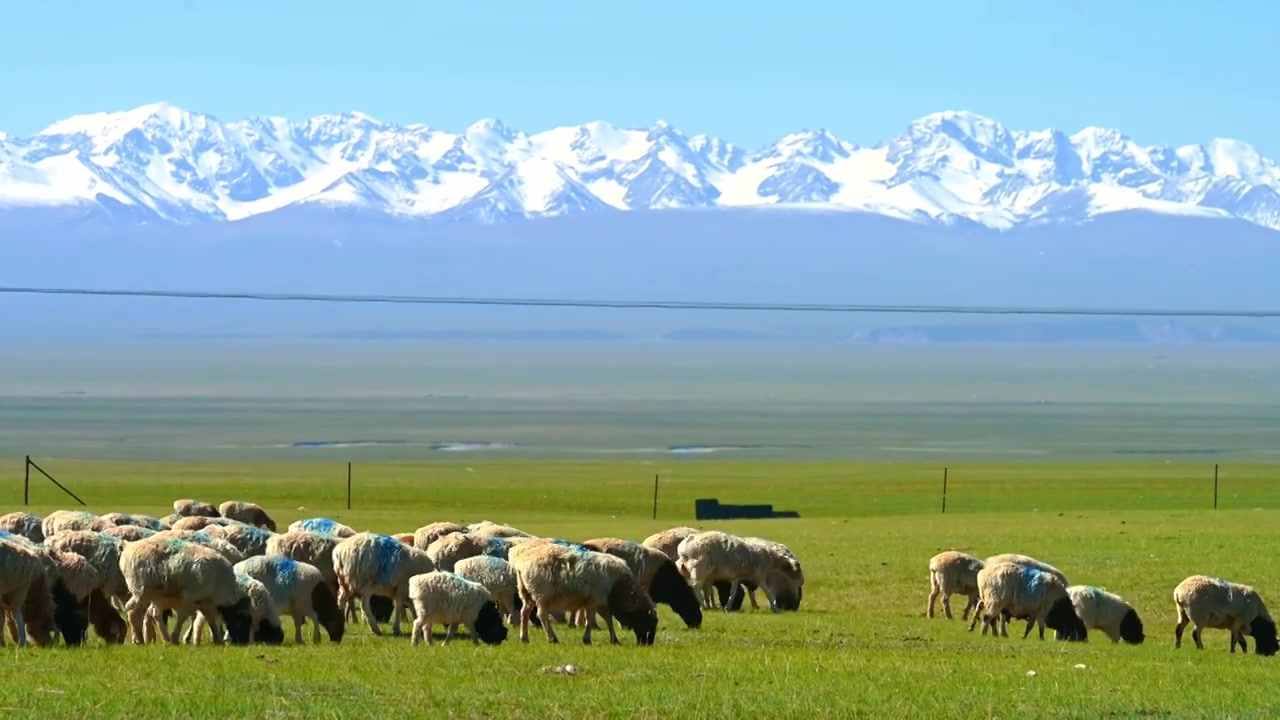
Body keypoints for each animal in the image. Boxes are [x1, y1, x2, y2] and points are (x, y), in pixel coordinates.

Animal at [119, 532, 253, 645]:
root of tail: (129, 547)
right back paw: (140, 640)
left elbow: (210, 618)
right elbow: (182, 616)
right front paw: (175, 638)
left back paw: (158, 639)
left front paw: (218, 640)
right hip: (141, 591)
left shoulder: (205, 600)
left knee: (148, 613)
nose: (243, 643)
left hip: (153, 593)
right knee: (133, 611)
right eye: (242, 620)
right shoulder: (190, 596)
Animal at [670, 530, 798, 607]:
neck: (771, 558)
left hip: (685, 569)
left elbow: (734, 591)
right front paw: (774, 607)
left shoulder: (736, 576)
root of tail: (686, 544)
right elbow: (768, 592)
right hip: (699, 569)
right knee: (696, 587)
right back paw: (702, 606)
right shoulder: (759, 576)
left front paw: (728, 606)